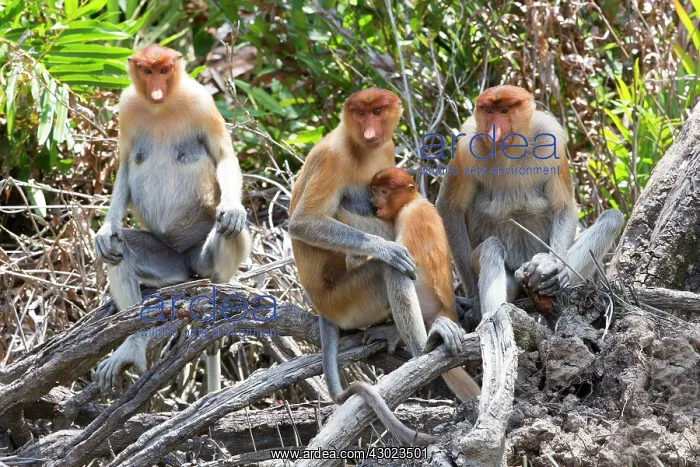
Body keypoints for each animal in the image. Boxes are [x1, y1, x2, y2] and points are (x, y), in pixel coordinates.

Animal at [93, 45, 251, 393]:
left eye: (164, 71)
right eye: (147, 71)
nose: (155, 91)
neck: (160, 109)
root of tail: (186, 262)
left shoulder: (202, 103)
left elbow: (224, 156)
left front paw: (233, 208)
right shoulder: (127, 107)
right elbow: (125, 165)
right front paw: (105, 230)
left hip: (200, 257)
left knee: (229, 232)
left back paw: (218, 290)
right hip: (169, 264)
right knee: (120, 252)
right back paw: (133, 344)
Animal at [289, 88, 465, 445]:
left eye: (378, 112)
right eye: (360, 113)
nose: (371, 131)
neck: (359, 147)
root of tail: (321, 305)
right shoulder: (333, 156)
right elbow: (304, 223)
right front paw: (385, 249)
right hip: (346, 301)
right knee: (388, 268)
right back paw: (423, 346)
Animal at [436, 85, 624, 319]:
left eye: (504, 111)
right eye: (488, 111)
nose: (493, 132)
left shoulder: (552, 140)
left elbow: (564, 205)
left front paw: (553, 267)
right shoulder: (465, 147)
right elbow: (449, 207)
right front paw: (474, 299)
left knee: (613, 218)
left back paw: (548, 277)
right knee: (491, 247)